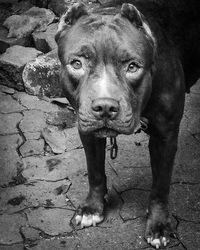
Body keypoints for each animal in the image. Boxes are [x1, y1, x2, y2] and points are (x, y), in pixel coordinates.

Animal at [55, 0, 200, 248]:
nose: (104, 106)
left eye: (133, 67)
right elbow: (95, 171)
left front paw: (159, 225)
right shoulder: (87, 131)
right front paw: (92, 208)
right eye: (76, 63)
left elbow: (160, 186)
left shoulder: (165, 137)